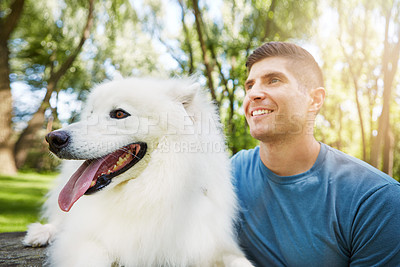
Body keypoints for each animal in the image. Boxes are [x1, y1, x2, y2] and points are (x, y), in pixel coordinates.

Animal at [24, 77, 253, 267]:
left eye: (119, 114)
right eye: (90, 114)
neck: (148, 191)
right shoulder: (86, 240)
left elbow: (239, 261)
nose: (53, 138)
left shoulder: (213, 246)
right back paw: (41, 233)